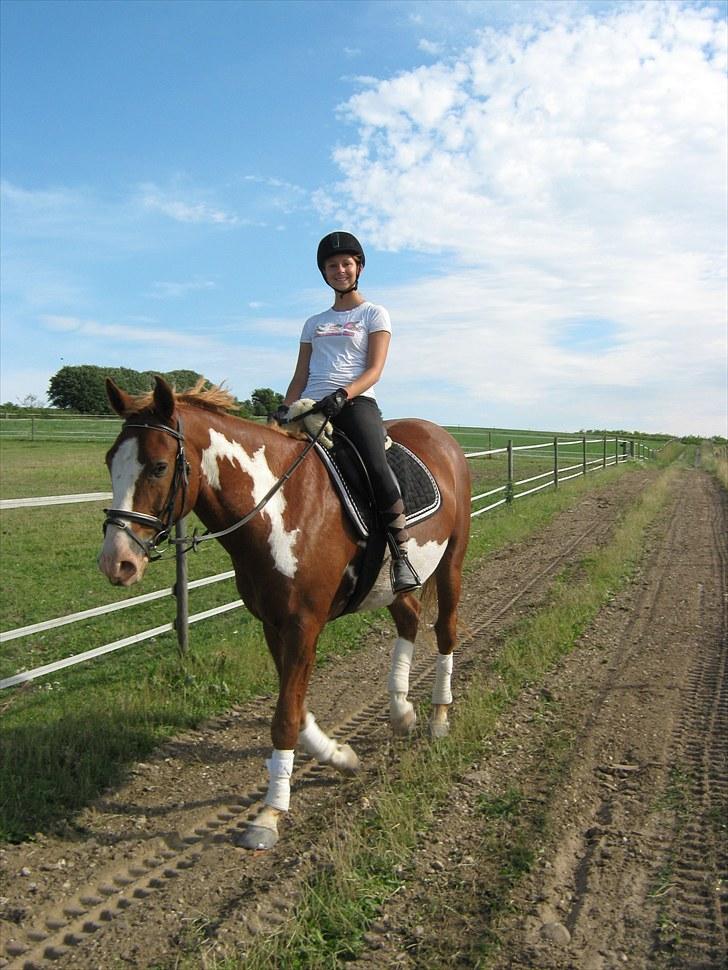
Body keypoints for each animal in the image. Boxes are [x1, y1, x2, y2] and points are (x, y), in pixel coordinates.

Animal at [96, 378, 472, 848]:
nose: (117, 562)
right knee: (409, 619)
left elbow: (284, 719)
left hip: (452, 562)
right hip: (396, 583)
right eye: (111, 460)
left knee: (445, 632)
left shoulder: (302, 625)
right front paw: (340, 756)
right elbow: (295, 708)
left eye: (160, 467)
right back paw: (402, 712)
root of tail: (441, 436)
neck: (278, 509)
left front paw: (269, 814)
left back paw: (439, 716)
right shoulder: (274, 626)